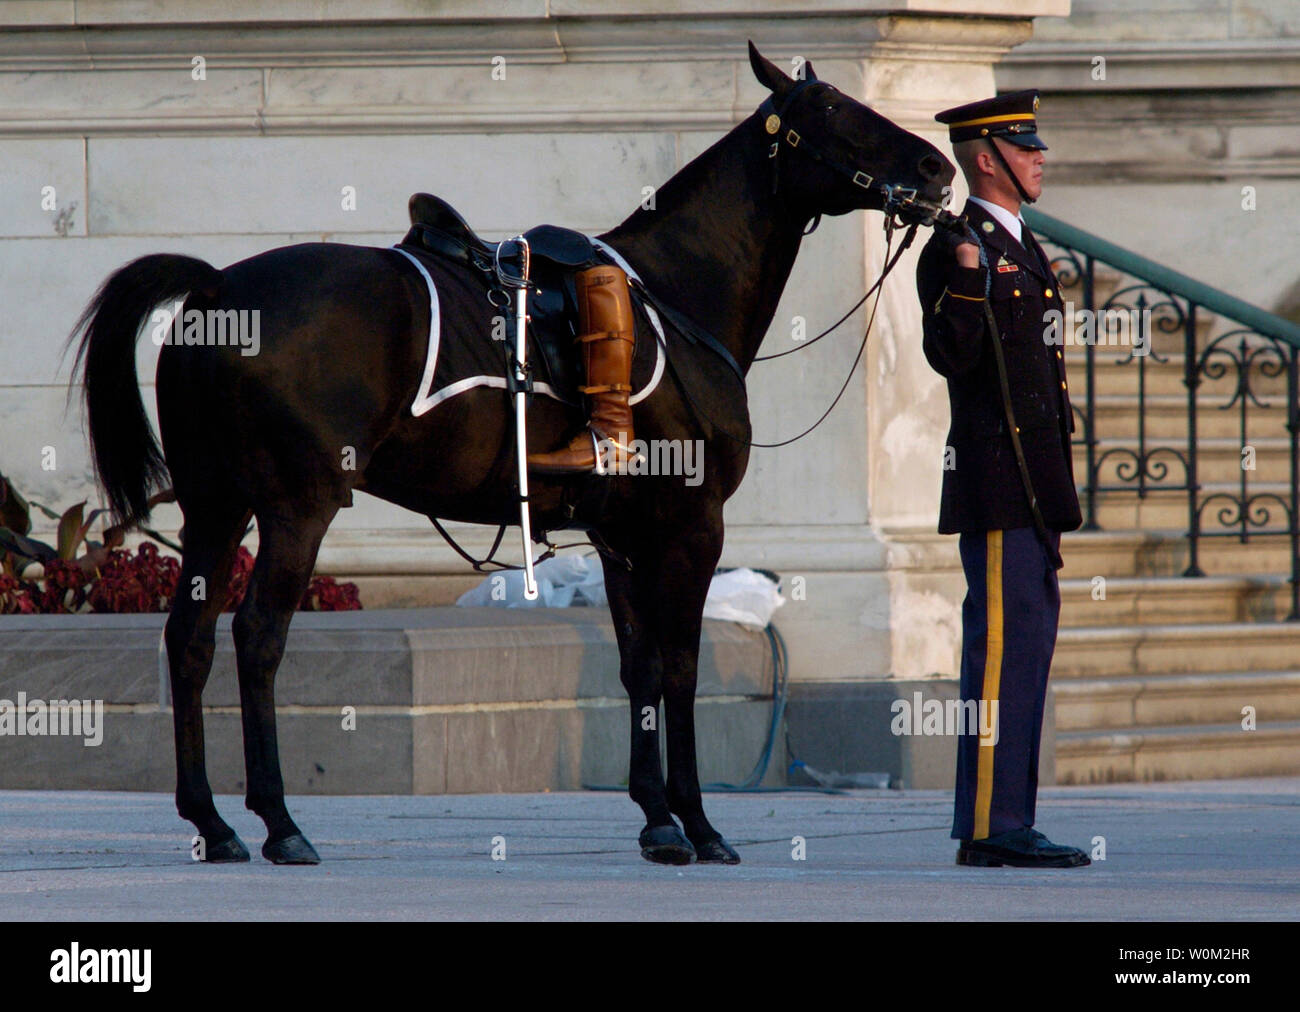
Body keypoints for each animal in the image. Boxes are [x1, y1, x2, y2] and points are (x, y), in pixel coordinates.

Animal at [71, 45, 951, 858]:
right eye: (833, 110)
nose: (937, 168)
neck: (678, 294)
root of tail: (218, 288)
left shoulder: (621, 536)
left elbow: (638, 667)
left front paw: (658, 818)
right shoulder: (693, 525)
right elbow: (678, 666)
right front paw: (699, 823)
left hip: (215, 507)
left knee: (189, 639)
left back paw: (213, 821)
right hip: (296, 506)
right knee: (256, 637)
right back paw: (280, 822)